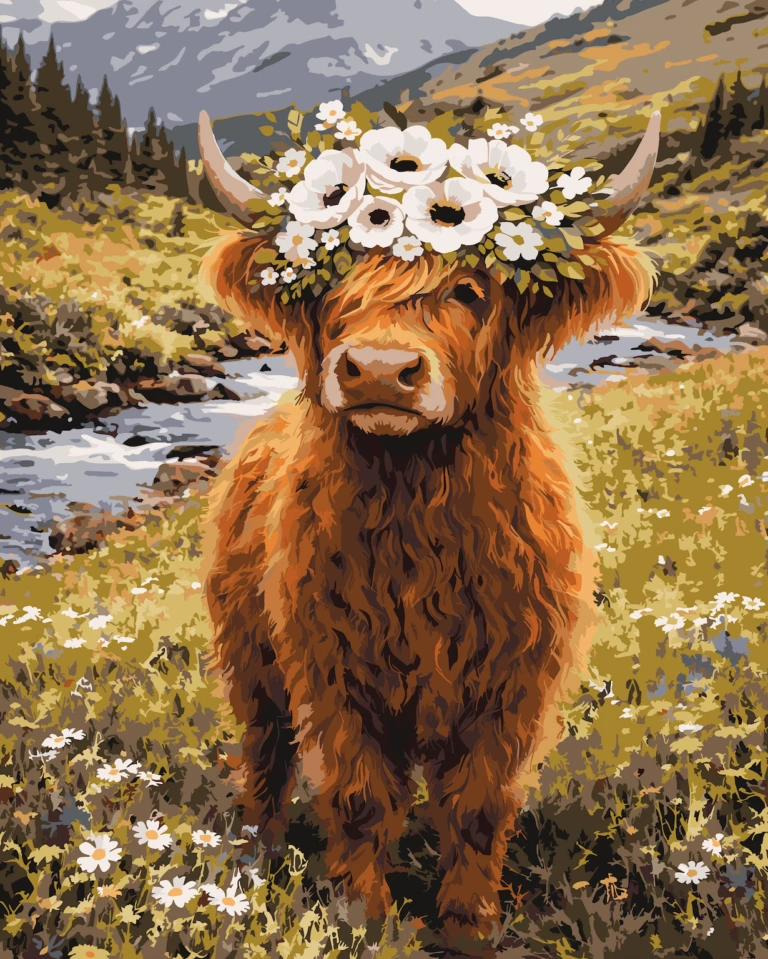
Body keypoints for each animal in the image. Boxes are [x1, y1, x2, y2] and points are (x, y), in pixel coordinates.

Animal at [198, 110, 660, 948]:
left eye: (470, 291)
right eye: (332, 289)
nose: (381, 370)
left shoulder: (512, 679)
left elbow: (478, 804)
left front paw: (469, 919)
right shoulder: (334, 668)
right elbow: (360, 796)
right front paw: (366, 915)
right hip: (249, 654)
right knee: (264, 751)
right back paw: (256, 851)